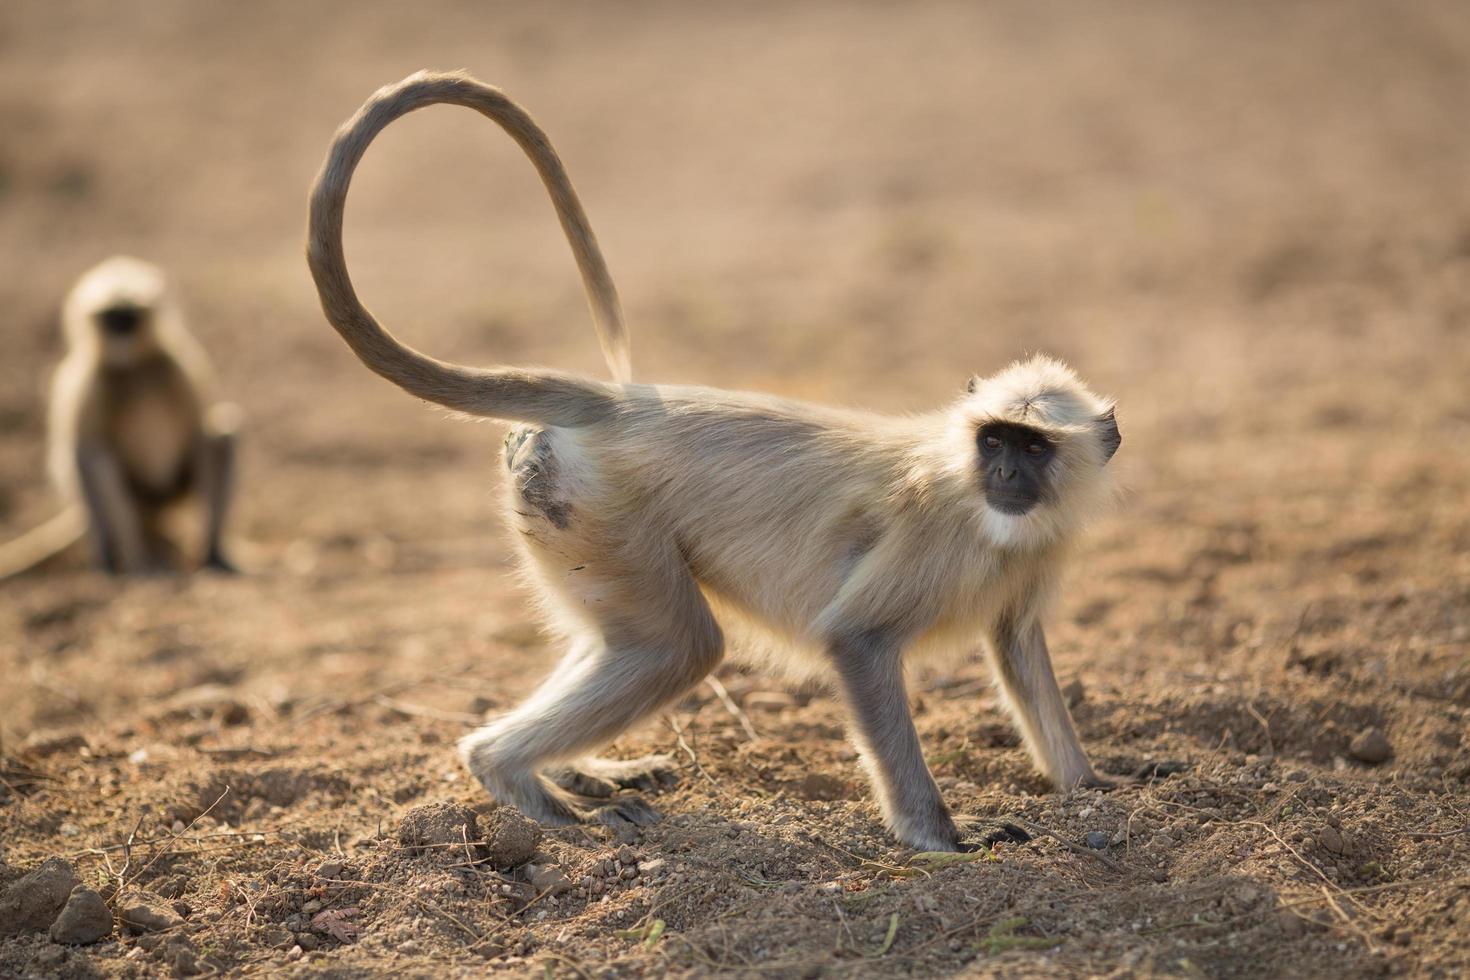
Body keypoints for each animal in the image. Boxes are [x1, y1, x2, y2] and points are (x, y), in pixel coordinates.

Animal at [0, 257, 241, 578]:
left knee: (224, 435)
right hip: (138, 499)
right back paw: (131, 559)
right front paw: (113, 557)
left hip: (170, 493)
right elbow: (84, 450)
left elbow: (199, 432)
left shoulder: (175, 363)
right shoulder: (89, 381)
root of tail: (154, 507)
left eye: (129, 316)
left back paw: (212, 554)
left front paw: (211, 553)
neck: (133, 366)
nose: (121, 332)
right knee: (96, 456)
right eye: (110, 318)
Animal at [304, 72, 1117, 852]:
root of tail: (616, 402)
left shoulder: (1038, 550)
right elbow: (857, 640)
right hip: (604, 510)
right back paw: (521, 781)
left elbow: (1018, 647)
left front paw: (1091, 785)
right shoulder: (935, 537)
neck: (972, 490)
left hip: (572, 523)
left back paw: (576, 771)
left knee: (621, 638)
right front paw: (938, 836)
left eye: (1032, 447)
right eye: (995, 440)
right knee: (679, 647)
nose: (1005, 475)